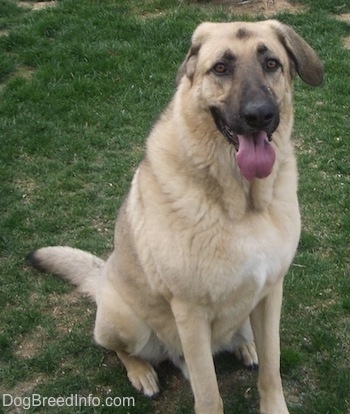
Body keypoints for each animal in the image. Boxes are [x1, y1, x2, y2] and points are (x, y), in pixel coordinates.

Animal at [28, 19, 324, 414]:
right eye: (220, 68)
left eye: (272, 63)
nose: (259, 115)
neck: (242, 204)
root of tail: (102, 277)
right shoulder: (191, 314)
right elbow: (209, 393)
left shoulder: (269, 293)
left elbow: (272, 370)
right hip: (127, 322)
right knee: (121, 350)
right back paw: (143, 373)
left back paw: (245, 346)